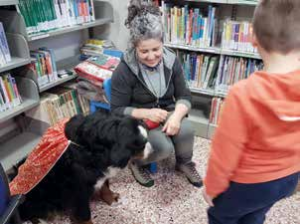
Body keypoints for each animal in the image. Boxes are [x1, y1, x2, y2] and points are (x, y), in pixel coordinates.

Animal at [10, 110, 151, 224]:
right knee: (26, 214)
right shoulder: (78, 192)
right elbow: (85, 215)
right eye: (141, 145)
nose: (151, 149)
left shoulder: (101, 173)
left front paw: (111, 199)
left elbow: (105, 187)